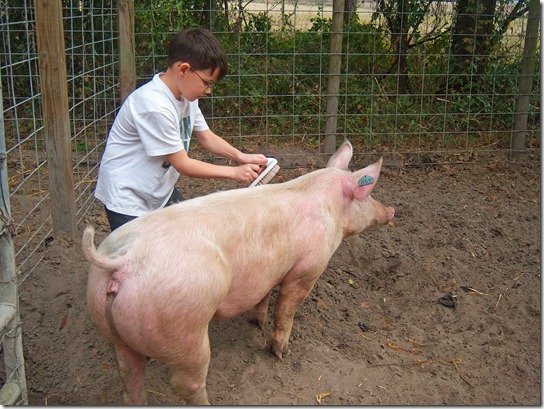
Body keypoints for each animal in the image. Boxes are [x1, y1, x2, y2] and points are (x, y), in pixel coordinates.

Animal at [82, 139, 396, 404]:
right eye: (367, 196)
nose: (391, 210)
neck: (328, 204)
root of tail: (123, 262)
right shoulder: (308, 267)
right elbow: (286, 310)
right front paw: (281, 353)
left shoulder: (267, 271)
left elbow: (263, 298)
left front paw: (256, 323)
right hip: (181, 326)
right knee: (186, 381)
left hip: (110, 324)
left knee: (129, 374)